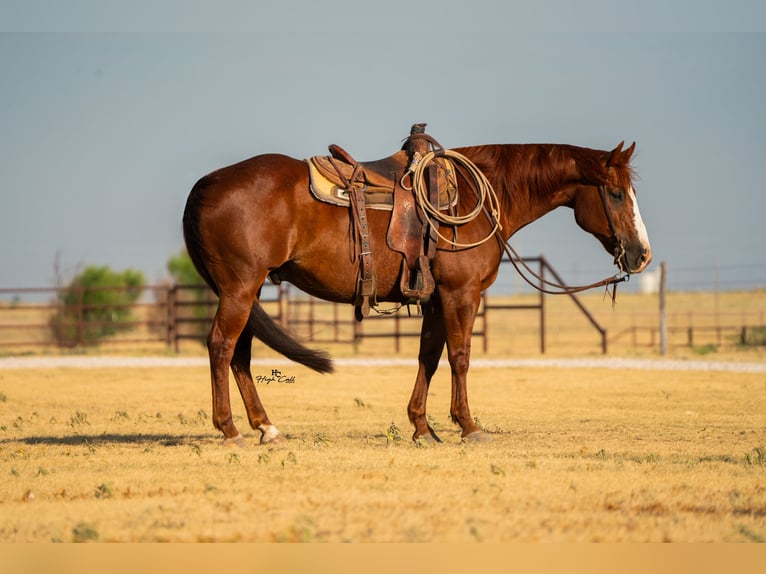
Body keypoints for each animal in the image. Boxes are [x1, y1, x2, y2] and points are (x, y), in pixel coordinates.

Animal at [183, 137, 652, 446]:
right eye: (615, 193)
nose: (641, 254)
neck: (474, 199)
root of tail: (204, 184)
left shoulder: (434, 301)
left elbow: (429, 356)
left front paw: (422, 427)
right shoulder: (461, 295)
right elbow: (460, 356)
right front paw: (468, 426)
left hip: (248, 290)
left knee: (240, 354)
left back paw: (265, 426)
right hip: (240, 287)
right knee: (221, 346)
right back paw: (229, 428)